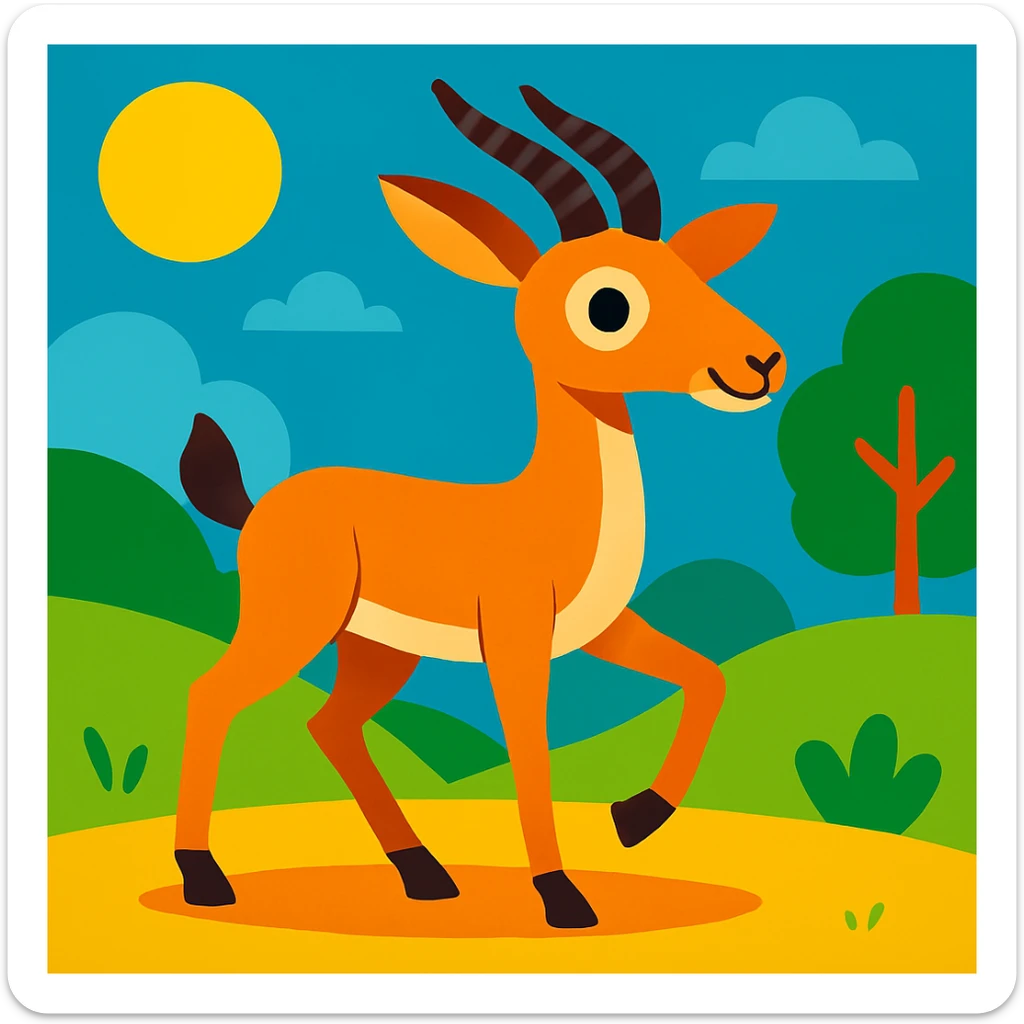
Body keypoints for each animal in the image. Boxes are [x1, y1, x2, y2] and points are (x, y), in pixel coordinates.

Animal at [174, 80, 785, 929]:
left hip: (377, 648)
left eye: (691, 272)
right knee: (211, 696)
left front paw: (635, 818)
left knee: (330, 724)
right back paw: (204, 877)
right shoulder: (519, 639)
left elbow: (707, 676)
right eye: (608, 304)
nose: (761, 362)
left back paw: (424, 872)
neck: (554, 508)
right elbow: (530, 750)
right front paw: (563, 895)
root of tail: (261, 503)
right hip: (291, 624)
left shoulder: (601, 628)